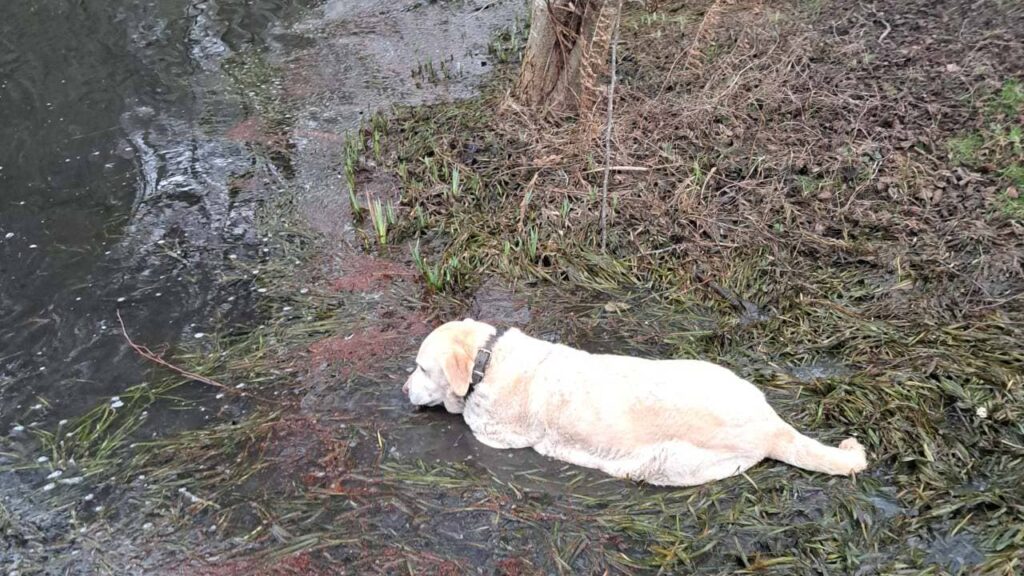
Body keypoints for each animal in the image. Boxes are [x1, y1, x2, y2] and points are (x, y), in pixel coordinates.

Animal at [403, 317, 868, 483]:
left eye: (421, 368)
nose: (403, 389)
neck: (488, 358)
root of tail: (771, 424)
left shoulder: (495, 431)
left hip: (670, 463)